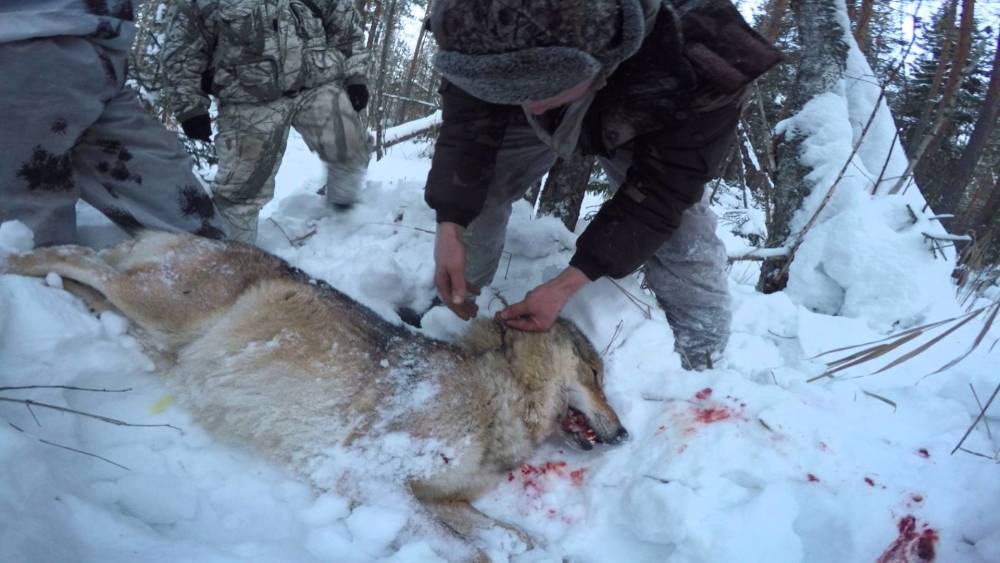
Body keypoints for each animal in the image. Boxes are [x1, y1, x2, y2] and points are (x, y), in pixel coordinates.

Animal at [7, 231, 628, 560]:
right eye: (596, 373)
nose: (624, 434)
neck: (496, 398)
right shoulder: (366, 474)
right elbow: (468, 548)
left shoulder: (441, 497)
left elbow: (511, 533)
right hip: (156, 303)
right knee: (71, 252)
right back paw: (12, 262)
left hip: (147, 325)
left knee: (84, 275)